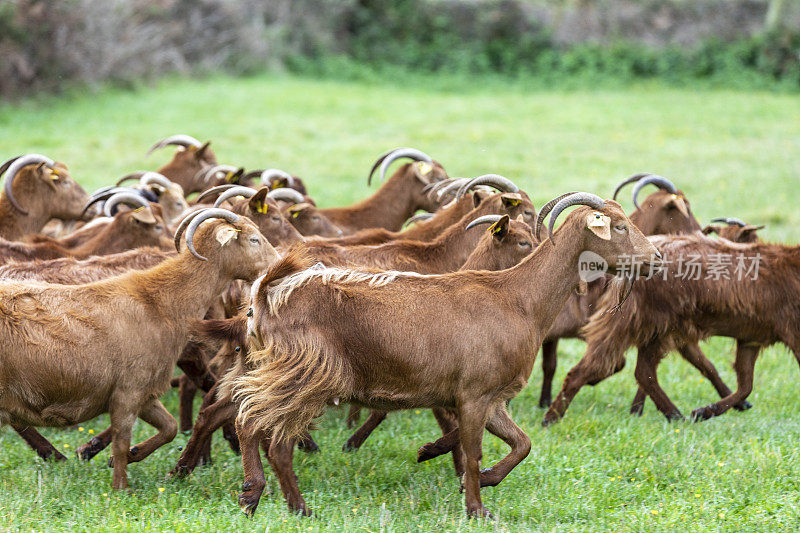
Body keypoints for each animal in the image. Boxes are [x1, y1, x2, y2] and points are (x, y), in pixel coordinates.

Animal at [0, 206, 278, 488]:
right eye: (254, 239)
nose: (277, 263)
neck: (159, 301)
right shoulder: (127, 392)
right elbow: (122, 441)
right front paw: (120, 487)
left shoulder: (146, 394)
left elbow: (169, 429)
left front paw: (131, 456)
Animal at [228, 191, 660, 516]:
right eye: (619, 226)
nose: (655, 259)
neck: (518, 298)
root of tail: (265, 298)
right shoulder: (474, 395)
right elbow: (473, 452)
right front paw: (477, 508)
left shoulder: (493, 398)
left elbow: (521, 444)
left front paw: (470, 473)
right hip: (307, 376)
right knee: (265, 431)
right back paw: (293, 506)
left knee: (250, 421)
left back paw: (254, 495)